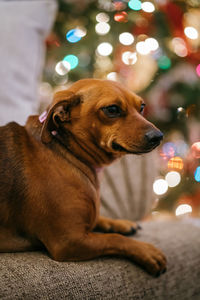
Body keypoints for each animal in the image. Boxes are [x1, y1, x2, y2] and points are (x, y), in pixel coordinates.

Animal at [0, 78, 166, 276]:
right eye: (112, 109)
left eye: (141, 107)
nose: (159, 137)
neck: (66, 151)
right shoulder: (69, 242)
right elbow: (114, 239)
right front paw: (146, 251)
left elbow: (99, 219)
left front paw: (120, 223)